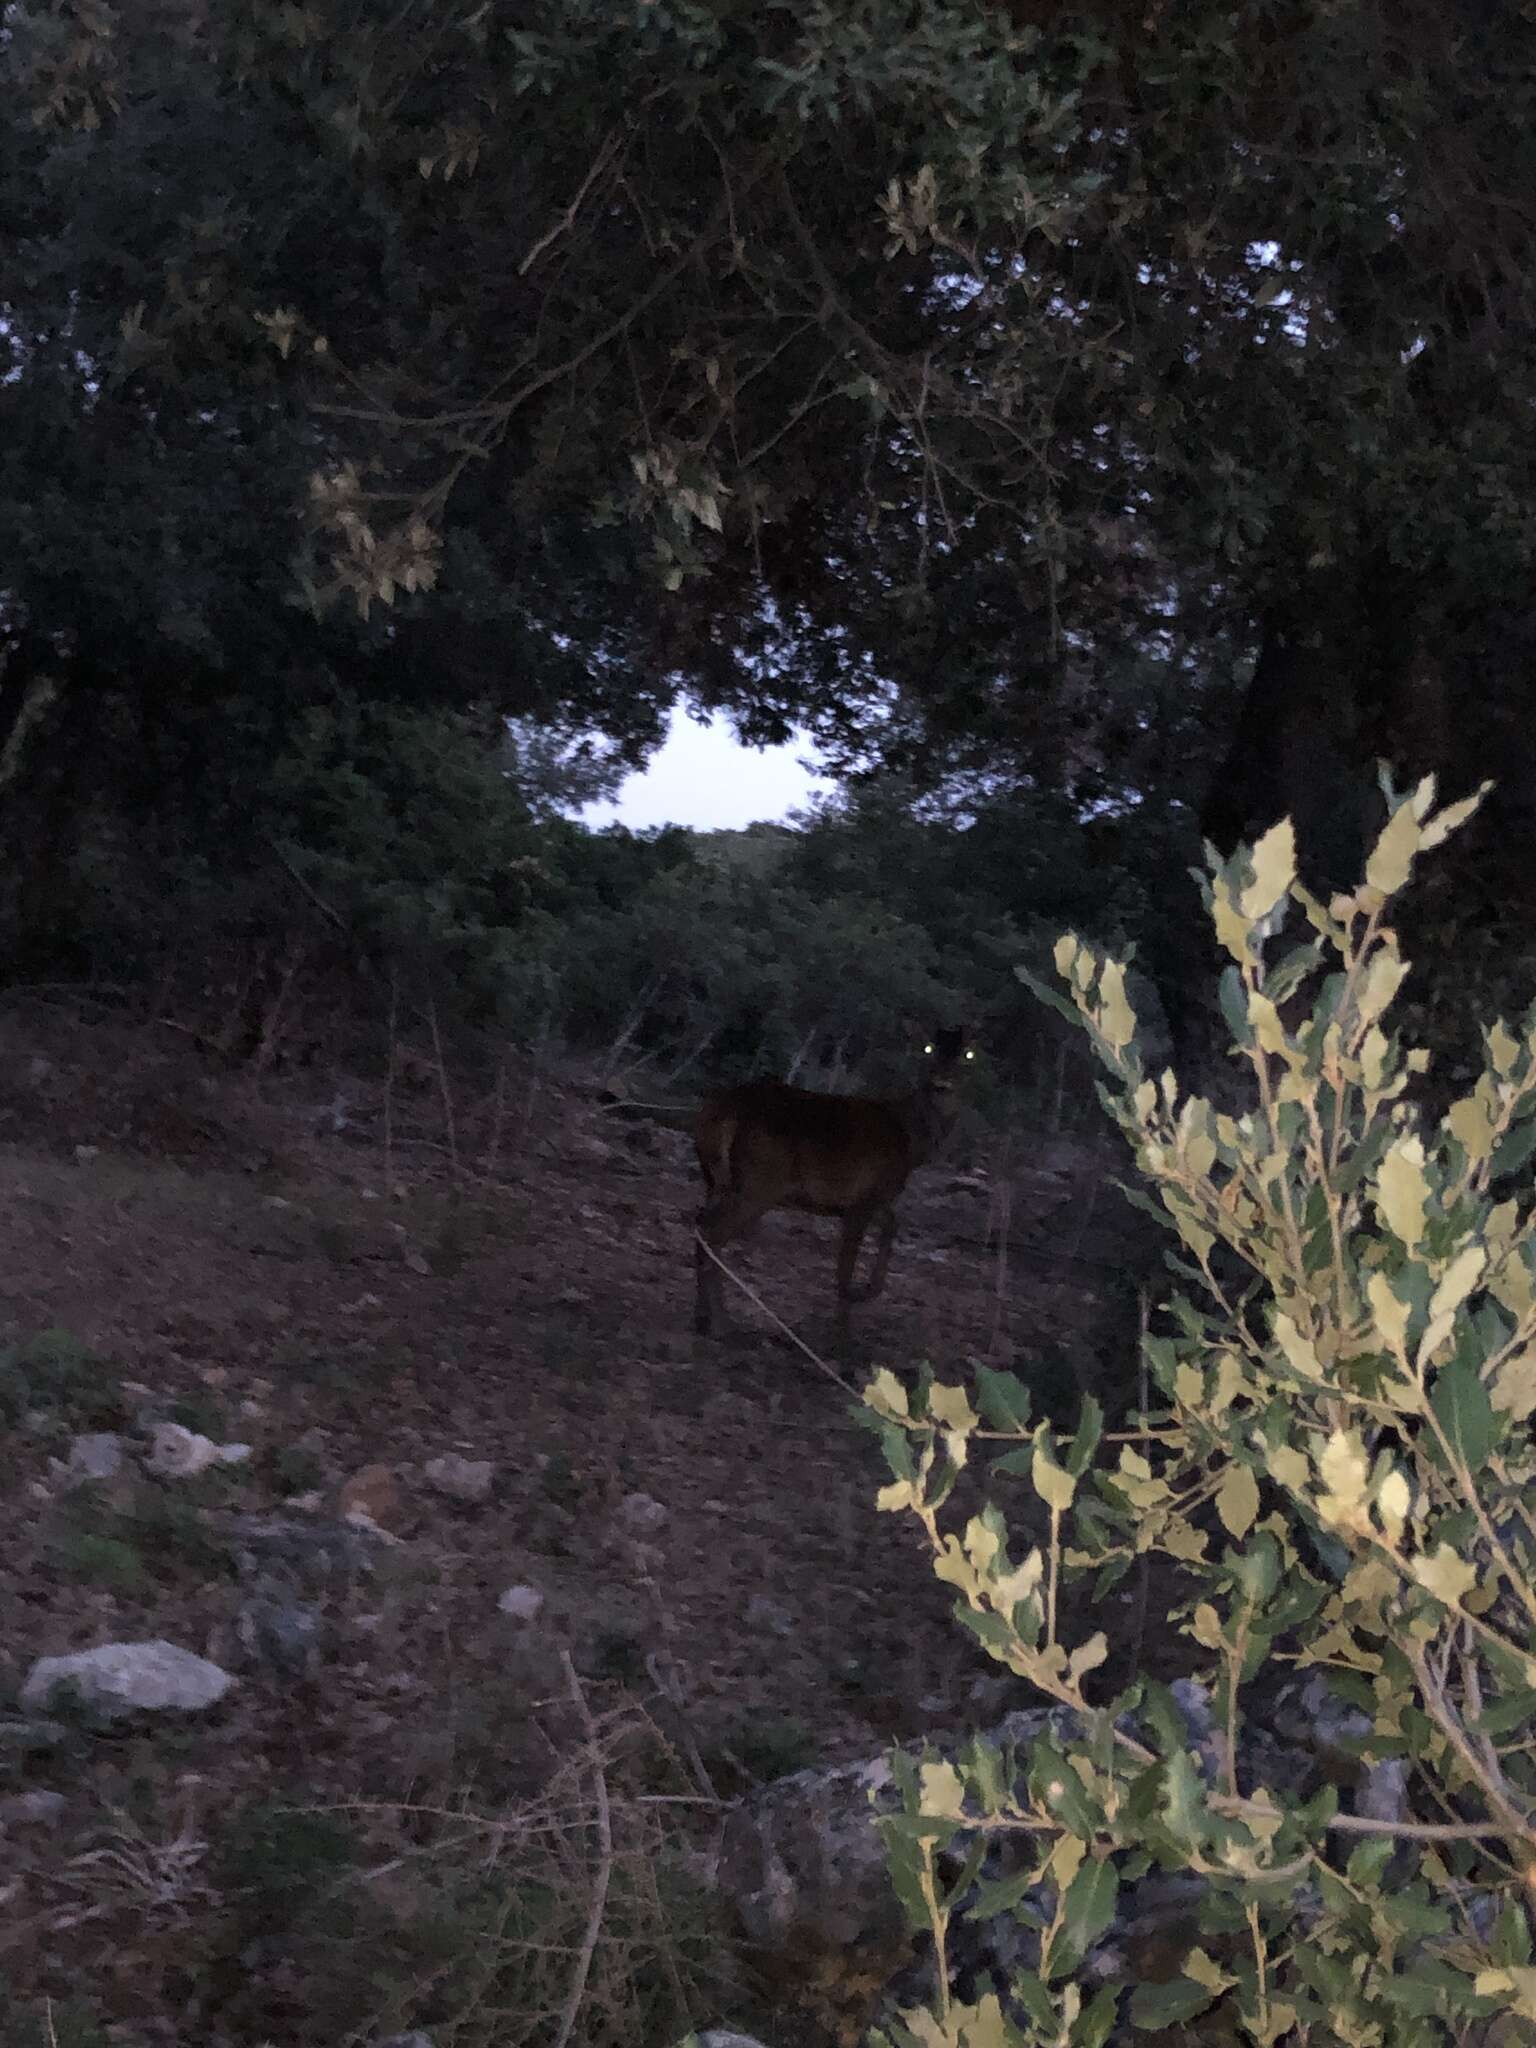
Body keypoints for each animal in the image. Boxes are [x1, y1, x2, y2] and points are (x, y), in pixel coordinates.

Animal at [696, 1024, 974, 1343]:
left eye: (968, 1053)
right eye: (928, 1048)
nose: (943, 1080)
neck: (911, 1141)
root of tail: (721, 1110)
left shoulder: (870, 1198)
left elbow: (892, 1225)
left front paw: (868, 1291)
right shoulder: (864, 1196)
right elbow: (845, 1268)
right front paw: (842, 1337)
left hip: (716, 1180)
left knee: (701, 1224)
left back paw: (701, 1318)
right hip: (760, 1181)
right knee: (712, 1232)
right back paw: (720, 1324)